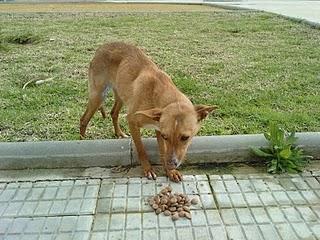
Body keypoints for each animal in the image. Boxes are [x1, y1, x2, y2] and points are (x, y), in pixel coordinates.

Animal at [80, 41, 216, 182]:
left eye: (185, 138)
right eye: (166, 136)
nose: (171, 164)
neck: (160, 95)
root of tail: (102, 47)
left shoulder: (158, 129)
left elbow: (162, 150)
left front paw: (170, 171)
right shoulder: (133, 122)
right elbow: (141, 149)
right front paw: (148, 169)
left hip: (121, 95)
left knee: (113, 113)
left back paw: (119, 133)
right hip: (98, 95)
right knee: (84, 119)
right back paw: (82, 139)